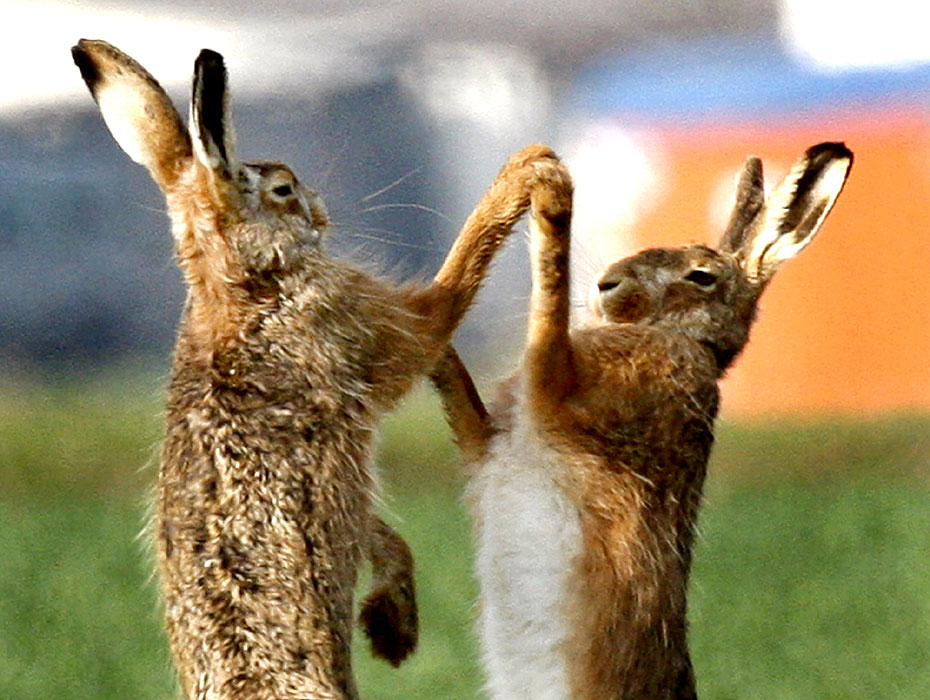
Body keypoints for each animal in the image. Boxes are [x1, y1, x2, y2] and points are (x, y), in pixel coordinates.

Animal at [71, 38, 569, 700]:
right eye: (283, 189)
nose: (321, 211)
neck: (240, 286)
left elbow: (380, 534)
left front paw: (390, 628)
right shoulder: (382, 325)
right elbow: (452, 283)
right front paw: (528, 164)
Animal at [430, 142, 853, 700]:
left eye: (701, 276)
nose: (607, 284)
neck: (686, 340)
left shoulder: (559, 392)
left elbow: (549, 305)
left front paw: (550, 189)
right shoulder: (491, 438)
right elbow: (456, 383)